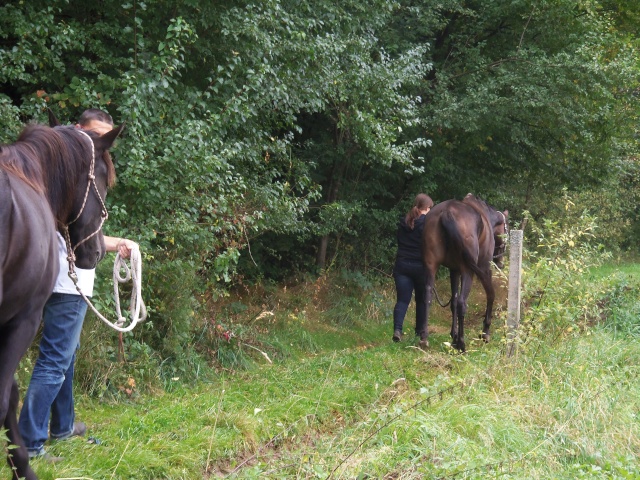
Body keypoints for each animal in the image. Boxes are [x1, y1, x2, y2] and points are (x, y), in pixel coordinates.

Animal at [420, 194, 510, 352]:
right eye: (506, 231)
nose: (501, 263)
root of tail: (447, 212)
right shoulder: (484, 267)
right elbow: (490, 295)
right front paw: (485, 332)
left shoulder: (454, 271)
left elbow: (453, 302)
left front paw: (453, 335)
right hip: (469, 271)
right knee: (463, 303)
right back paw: (462, 344)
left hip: (431, 266)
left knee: (428, 296)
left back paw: (424, 338)